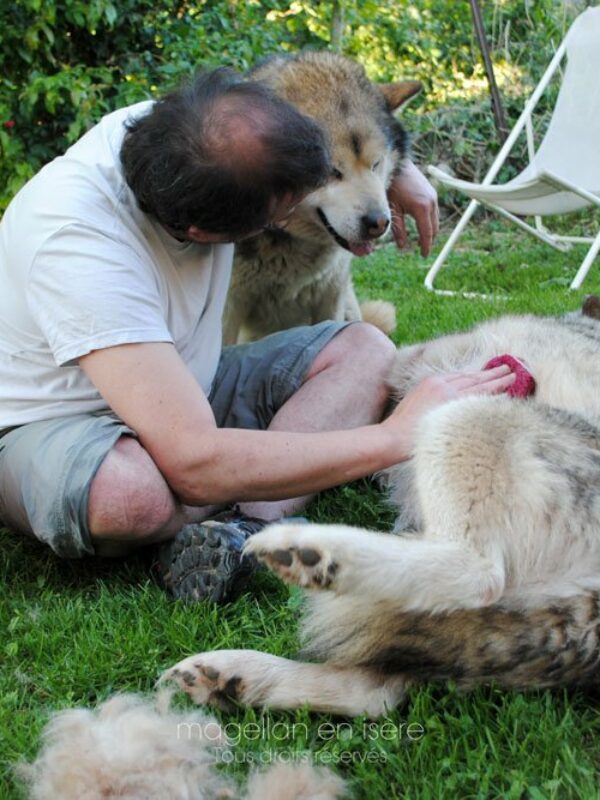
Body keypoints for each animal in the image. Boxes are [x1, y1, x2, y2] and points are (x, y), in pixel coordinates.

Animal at [166, 298, 600, 712]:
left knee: (479, 573)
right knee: (379, 696)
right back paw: (236, 677)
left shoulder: (414, 360)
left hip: (466, 415)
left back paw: (312, 551)